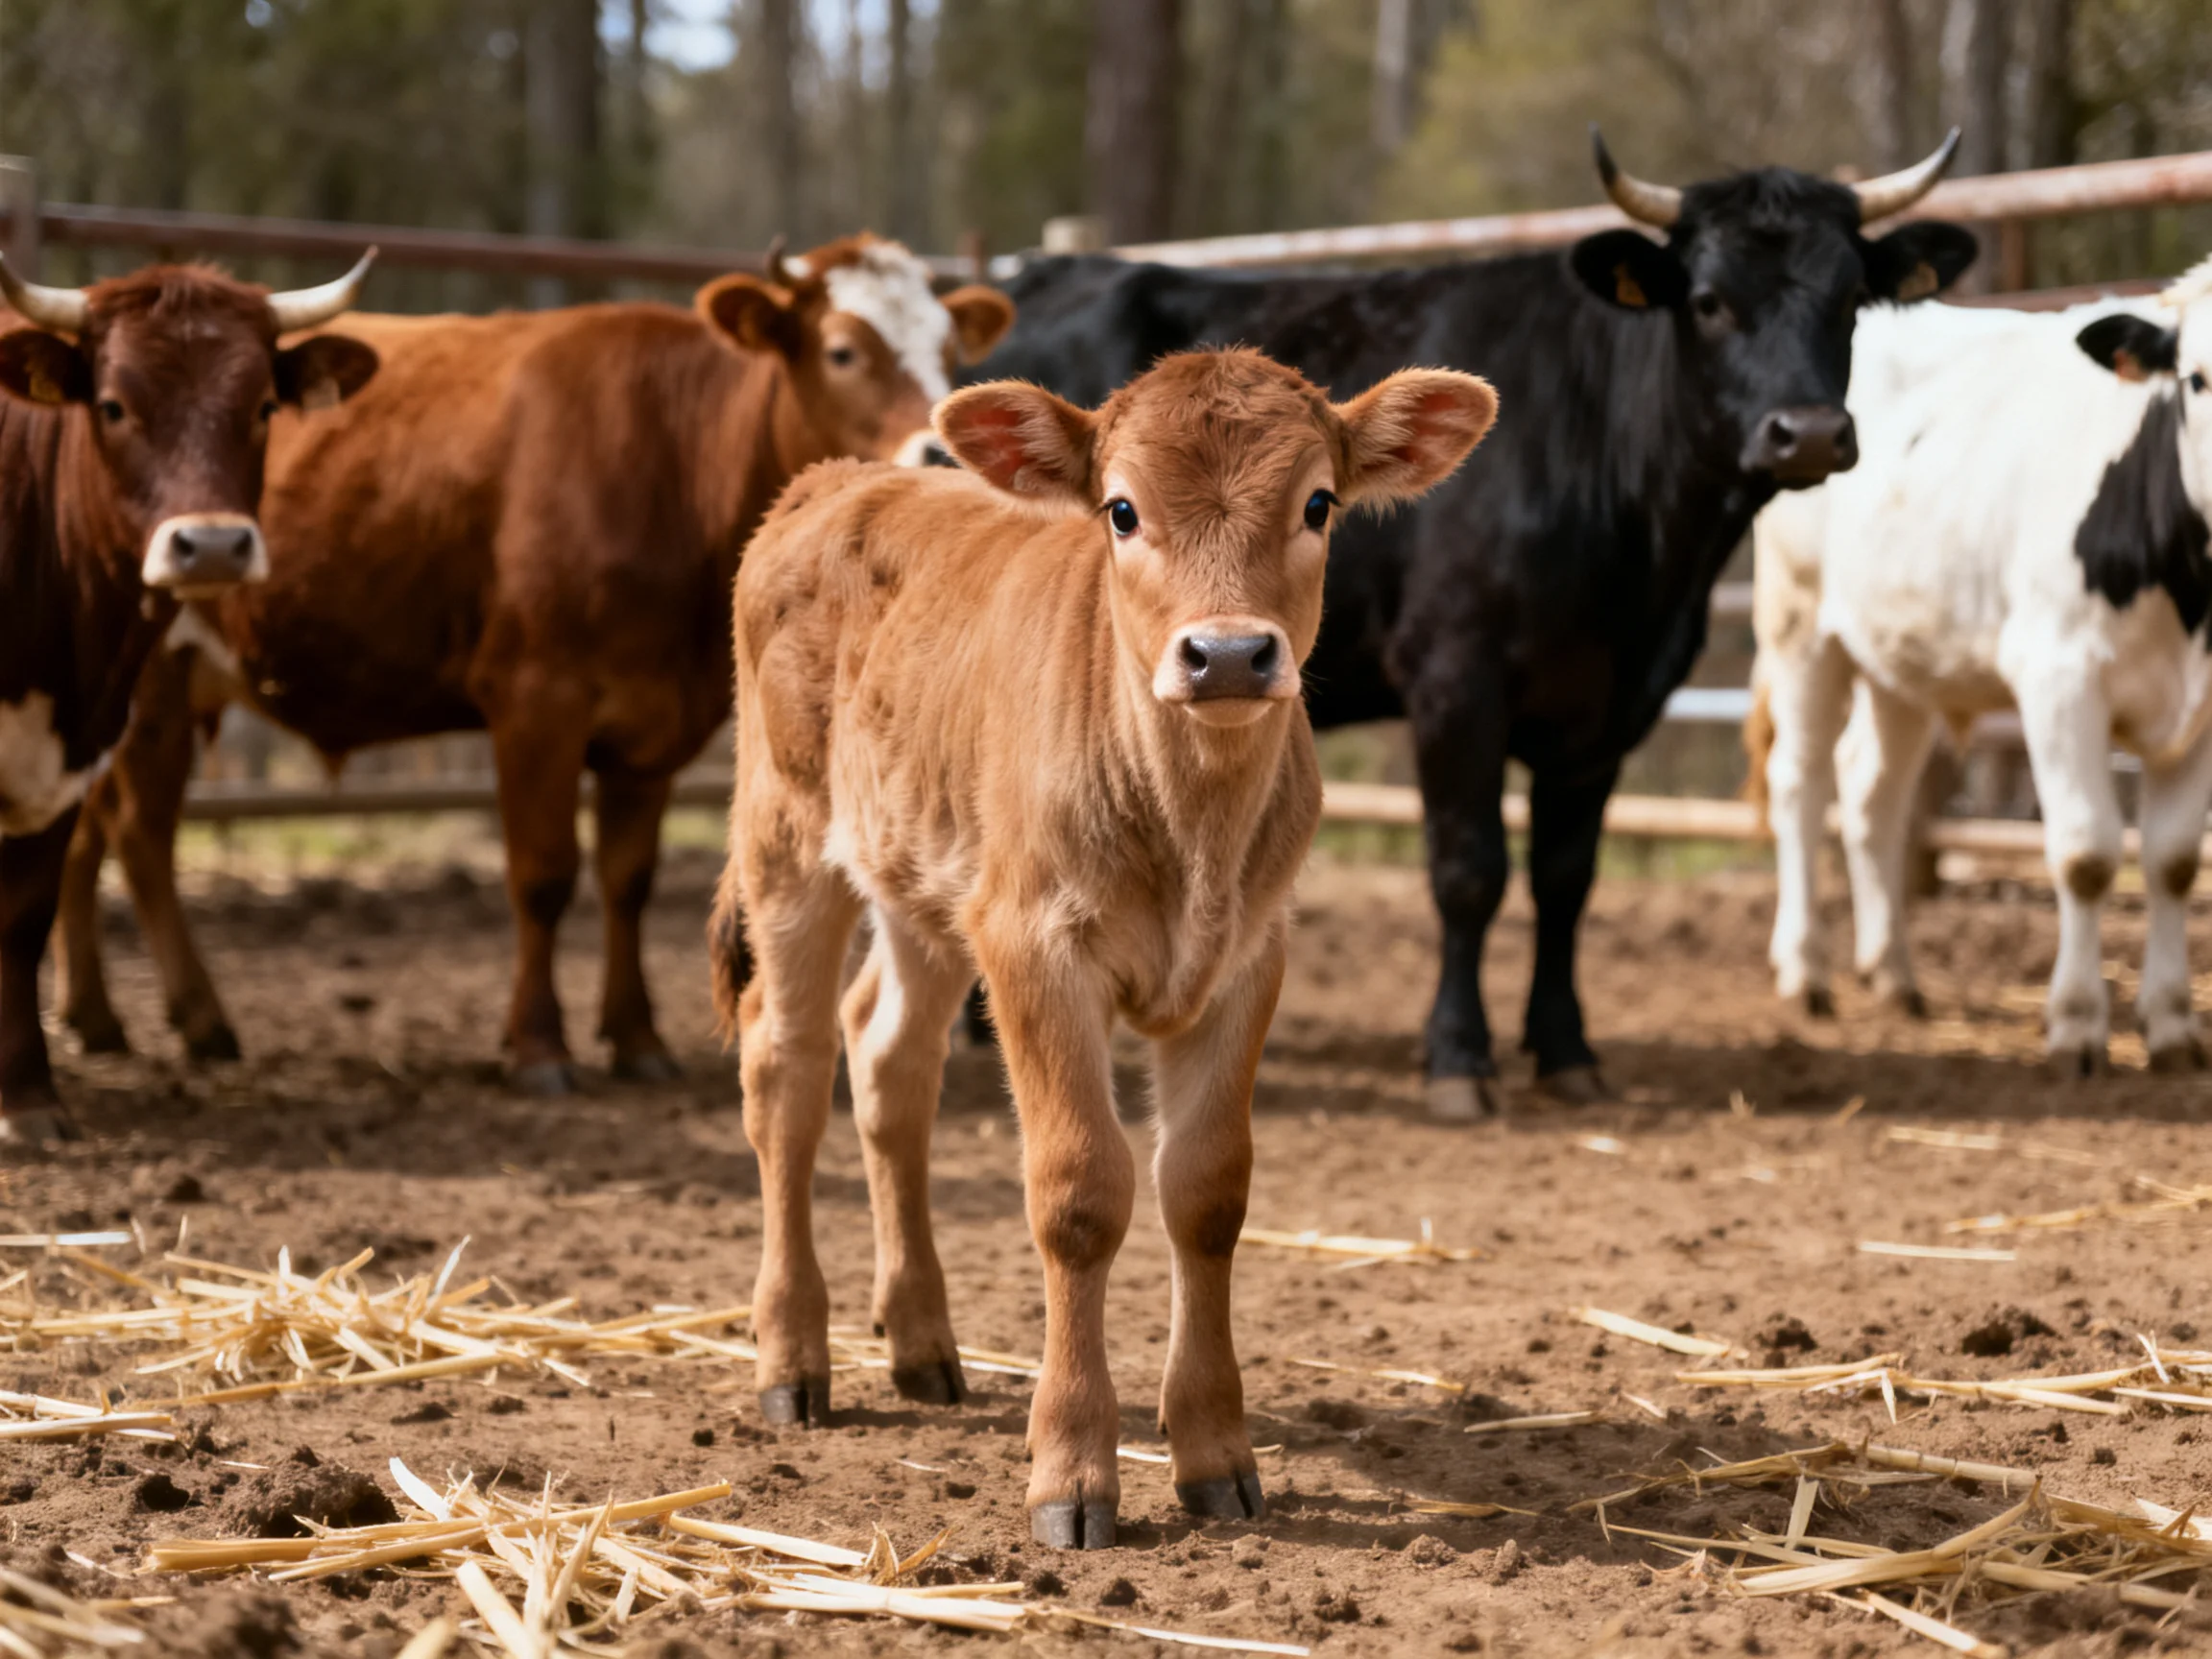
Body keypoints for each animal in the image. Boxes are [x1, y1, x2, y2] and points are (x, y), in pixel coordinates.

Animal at [0, 254, 378, 1146]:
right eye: (113, 404)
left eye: (264, 405)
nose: (209, 545)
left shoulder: (68, 758)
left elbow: (23, 919)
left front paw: (27, 1099)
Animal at [47, 236, 1015, 1093]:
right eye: (844, 348)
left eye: (949, 349)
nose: (937, 452)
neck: (671, 458)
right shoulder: (534, 702)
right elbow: (544, 876)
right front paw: (539, 1048)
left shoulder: (653, 719)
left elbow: (628, 878)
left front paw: (636, 1039)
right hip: (148, 682)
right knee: (140, 835)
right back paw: (197, 1019)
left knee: (90, 831)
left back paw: (96, 1018)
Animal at [711, 349, 1496, 1546]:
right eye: (1121, 509)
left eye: (1318, 503)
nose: (1229, 654)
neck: (1188, 825)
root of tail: (838, 480)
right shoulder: (1035, 944)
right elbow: (1080, 1195)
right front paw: (1073, 1470)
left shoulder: (1248, 958)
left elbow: (1207, 1193)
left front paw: (1215, 1454)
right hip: (789, 840)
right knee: (786, 1069)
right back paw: (793, 1358)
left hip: (930, 881)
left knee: (887, 1060)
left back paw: (921, 1341)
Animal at [966, 133, 1977, 1120]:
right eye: (1708, 299)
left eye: (1851, 300)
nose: (1808, 433)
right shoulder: (1458, 681)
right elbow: (1469, 870)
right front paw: (1459, 1057)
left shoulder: (1608, 706)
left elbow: (1566, 876)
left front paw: (1566, 1051)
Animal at [1751, 265, 2212, 1075]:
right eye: (2195, 378)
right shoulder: (2059, 679)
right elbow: (2088, 854)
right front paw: (2076, 1024)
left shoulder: (2203, 708)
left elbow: (2174, 860)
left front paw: (2172, 1026)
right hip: (1800, 626)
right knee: (1800, 786)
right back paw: (1805, 970)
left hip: (1898, 659)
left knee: (1870, 790)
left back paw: (1893, 973)